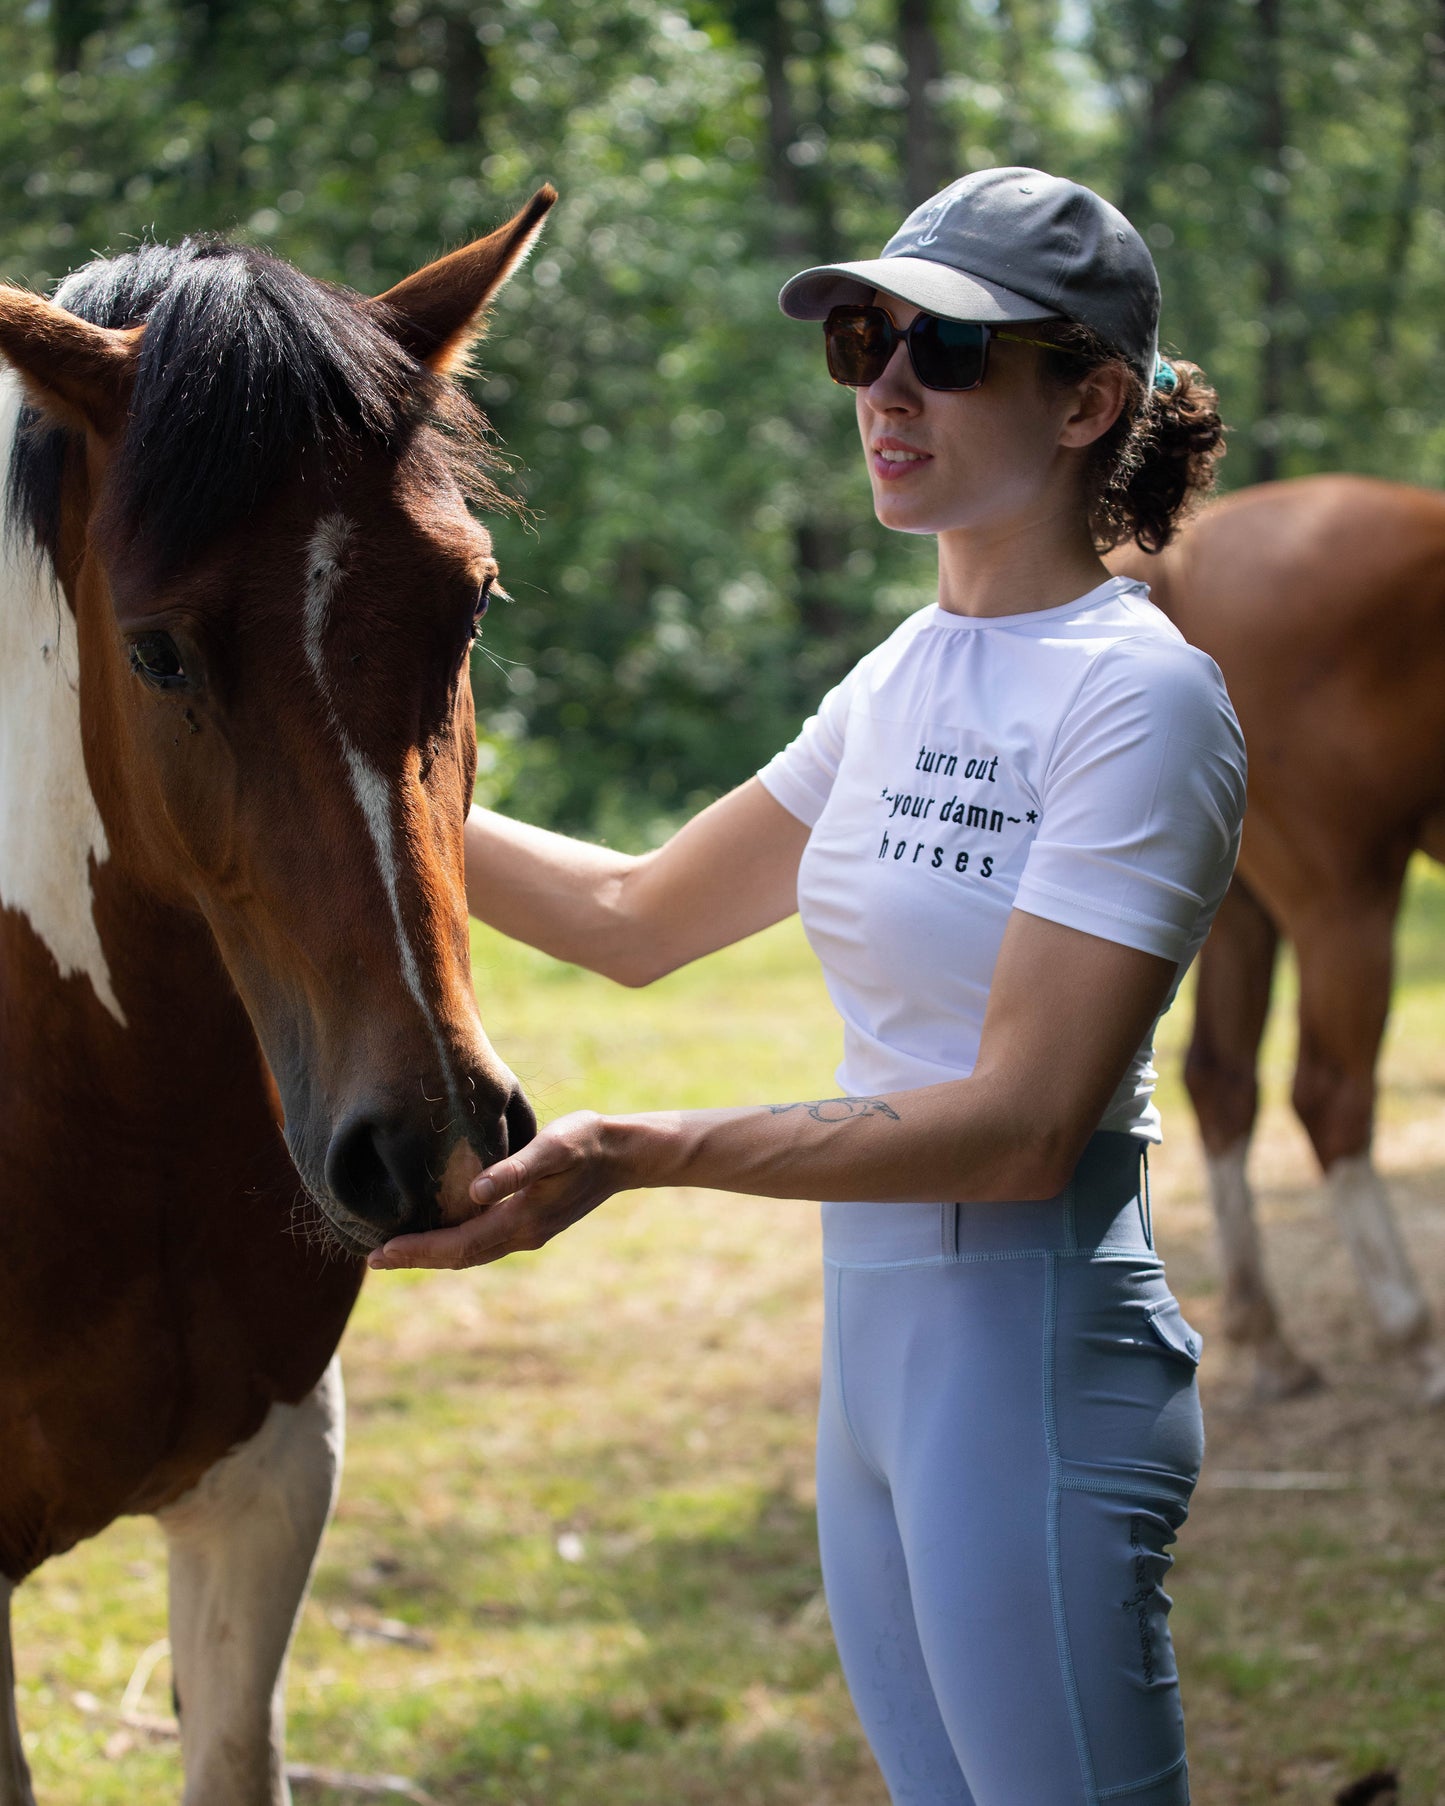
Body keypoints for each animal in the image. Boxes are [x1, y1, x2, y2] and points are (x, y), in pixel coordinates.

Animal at [1112, 476, 1445, 1409]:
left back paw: (1267, 1338)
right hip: (1343, 902)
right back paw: (1413, 1333)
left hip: (1235, 909)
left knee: (1220, 1080)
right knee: (1329, 1096)